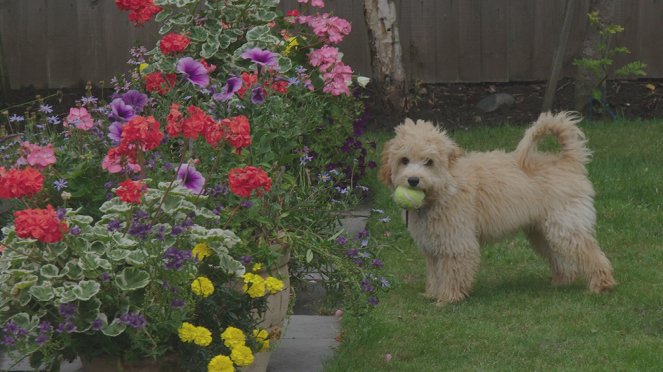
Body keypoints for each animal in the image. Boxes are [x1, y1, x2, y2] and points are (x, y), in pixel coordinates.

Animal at [382, 112, 616, 304]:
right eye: (404, 160)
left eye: (429, 162)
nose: (413, 180)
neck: (447, 185)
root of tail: (567, 160)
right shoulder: (432, 246)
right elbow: (435, 272)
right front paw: (432, 293)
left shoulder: (457, 242)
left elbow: (452, 270)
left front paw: (448, 298)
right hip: (542, 231)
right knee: (560, 257)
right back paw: (562, 280)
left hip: (565, 226)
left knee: (591, 253)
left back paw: (601, 284)